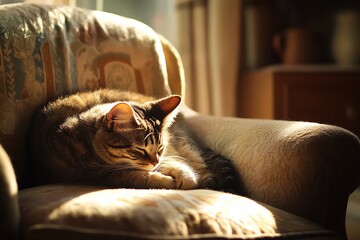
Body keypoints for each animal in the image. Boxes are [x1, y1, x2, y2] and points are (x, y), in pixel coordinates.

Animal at [27, 88, 242, 193]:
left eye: (160, 147)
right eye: (139, 150)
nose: (155, 161)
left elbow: (174, 165)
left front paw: (186, 177)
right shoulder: (101, 175)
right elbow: (141, 178)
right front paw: (171, 180)